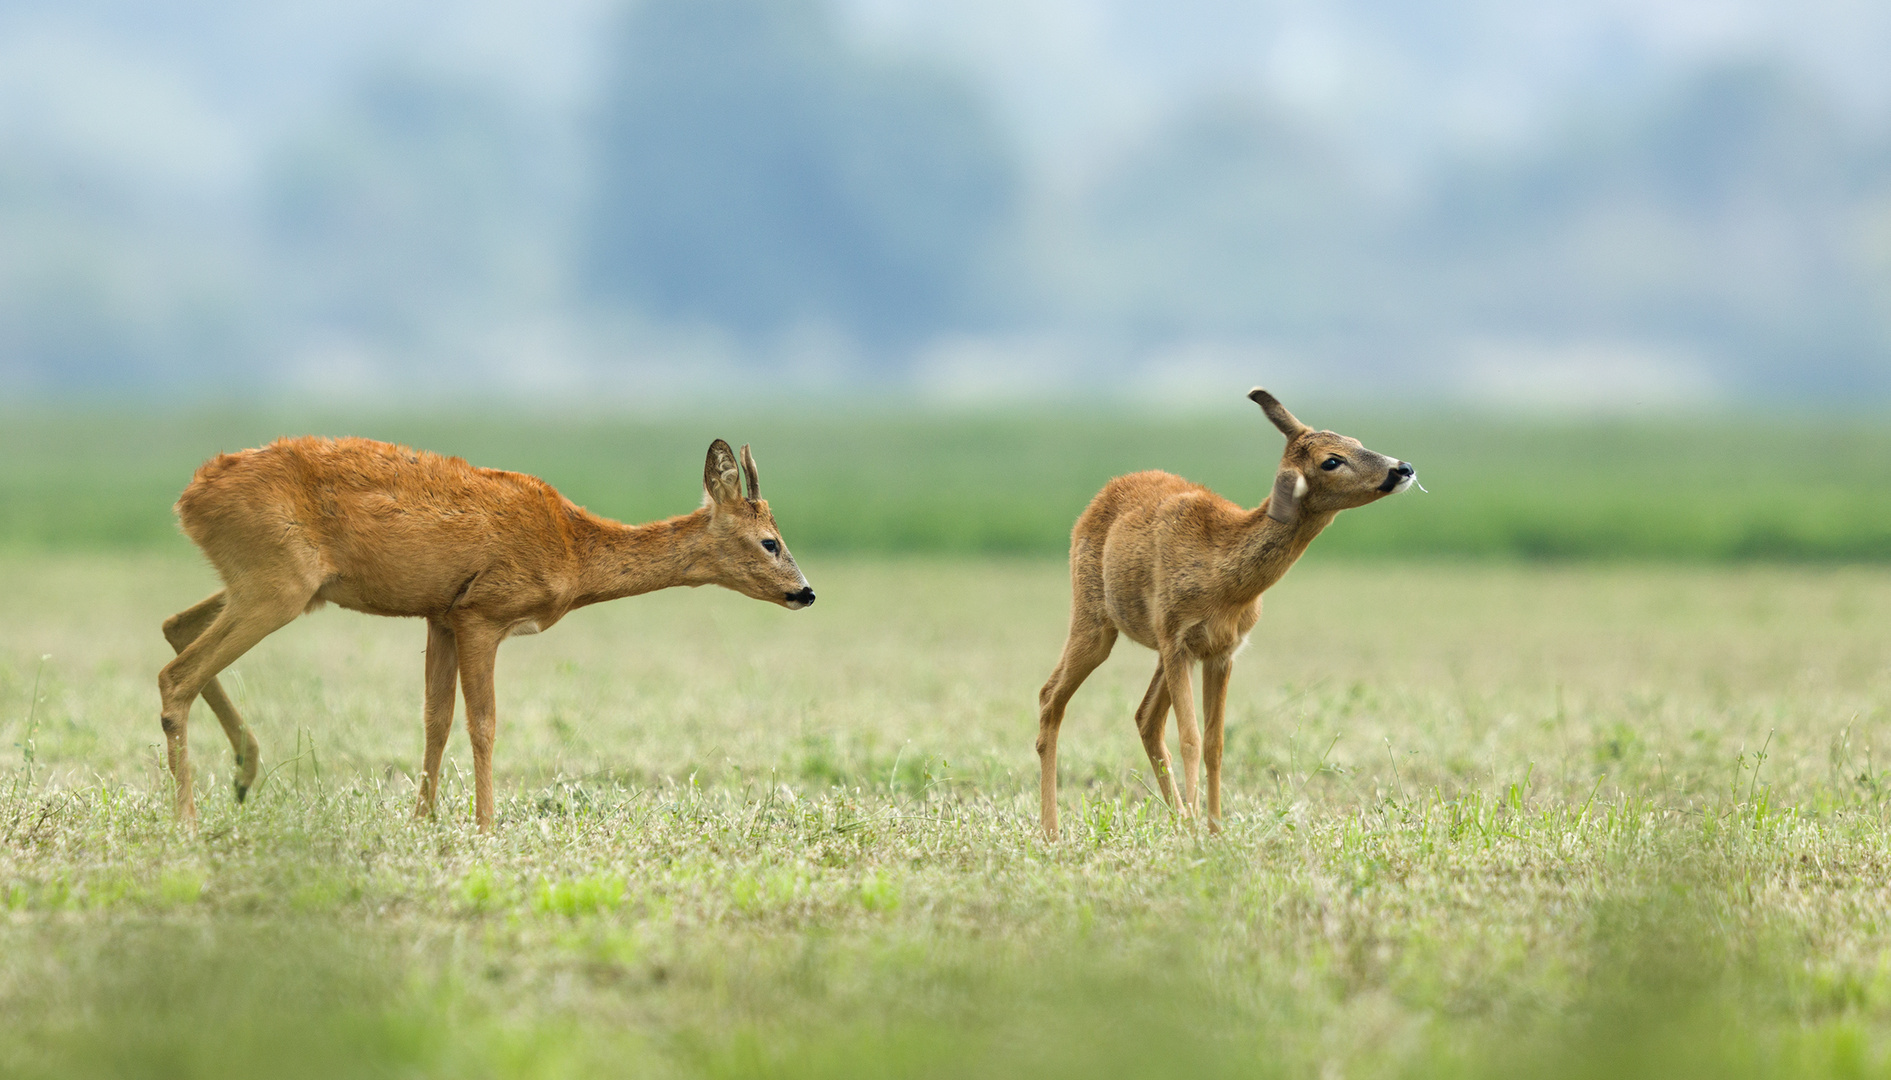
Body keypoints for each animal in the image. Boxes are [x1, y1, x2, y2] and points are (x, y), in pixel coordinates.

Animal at [158, 435, 809, 832]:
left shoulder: (440, 615)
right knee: (176, 676)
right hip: (277, 582)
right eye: (769, 541)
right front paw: (485, 824)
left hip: (274, 584)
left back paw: (244, 771)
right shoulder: (483, 614)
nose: (805, 591)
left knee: (174, 625)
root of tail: (187, 499)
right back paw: (189, 818)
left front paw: (423, 819)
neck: (573, 548)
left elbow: (435, 718)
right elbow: (484, 723)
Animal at [1036, 391, 1422, 843]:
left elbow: (1215, 743)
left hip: (1154, 646)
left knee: (1144, 717)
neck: (1223, 578)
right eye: (1331, 460)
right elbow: (1190, 737)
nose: (1403, 468)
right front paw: (1200, 831)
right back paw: (1051, 830)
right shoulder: (1177, 640)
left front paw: (1215, 830)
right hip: (1094, 618)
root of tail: (1098, 498)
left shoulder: (1222, 651)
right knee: (1050, 697)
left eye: (1355, 439)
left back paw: (1178, 818)